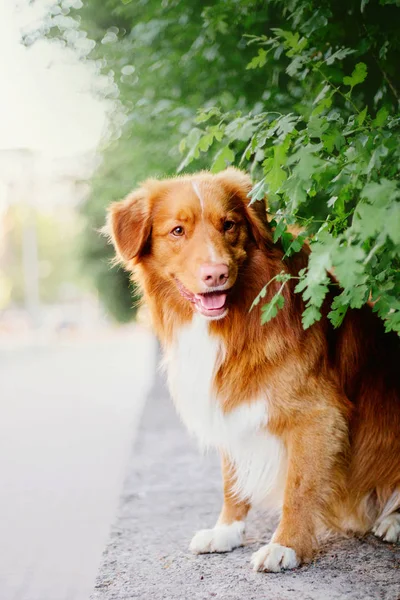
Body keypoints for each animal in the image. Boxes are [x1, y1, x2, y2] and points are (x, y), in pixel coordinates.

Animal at [105, 168, 400, 572]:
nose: (216, 274)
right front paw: (226, 531)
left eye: (228, 225)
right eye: (177, 230)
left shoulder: (317, 414)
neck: (233, 321)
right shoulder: (230, 399)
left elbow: (299, 486)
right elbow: (231, 480)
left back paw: (392, 520)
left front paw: (285, 546)